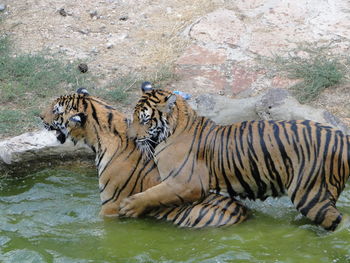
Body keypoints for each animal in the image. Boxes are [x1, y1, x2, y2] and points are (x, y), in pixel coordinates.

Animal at [120, 86, 350, 231]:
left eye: (145, 120)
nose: (130, 137)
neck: (175, 128)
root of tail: (342, 137)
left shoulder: (185, 183)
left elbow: (153, 194)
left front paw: (130, 206)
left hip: (311, 193)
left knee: (338, 220)